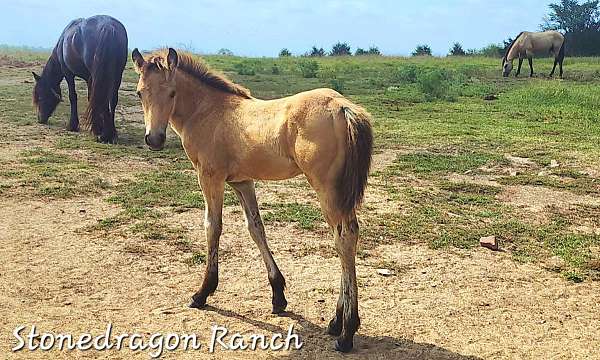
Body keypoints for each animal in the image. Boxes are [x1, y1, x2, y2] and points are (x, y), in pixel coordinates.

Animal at [32, 15, 127, 143]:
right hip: (116, 75)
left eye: (40, 97)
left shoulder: (68, 73)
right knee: (112, 100)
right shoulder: (89, 79)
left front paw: (73, 125)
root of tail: (108, 26)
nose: (40, 119)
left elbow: (73, 96)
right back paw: (110, 134)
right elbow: (91, 98)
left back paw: (102, 134)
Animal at [134, 47, 372, 352]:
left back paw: (346, 332)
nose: (154, 139)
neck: (208, 111)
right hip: (338, 193)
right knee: (343, 237)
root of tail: (343, 107)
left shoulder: (210, 177)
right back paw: (335, 322)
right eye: (141, 92)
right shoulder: (242, 182)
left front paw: (203, 292)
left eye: (172, 92)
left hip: (327, 189)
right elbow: (256, 229)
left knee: (344, 239)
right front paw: (278, 295)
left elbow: (212, 226)